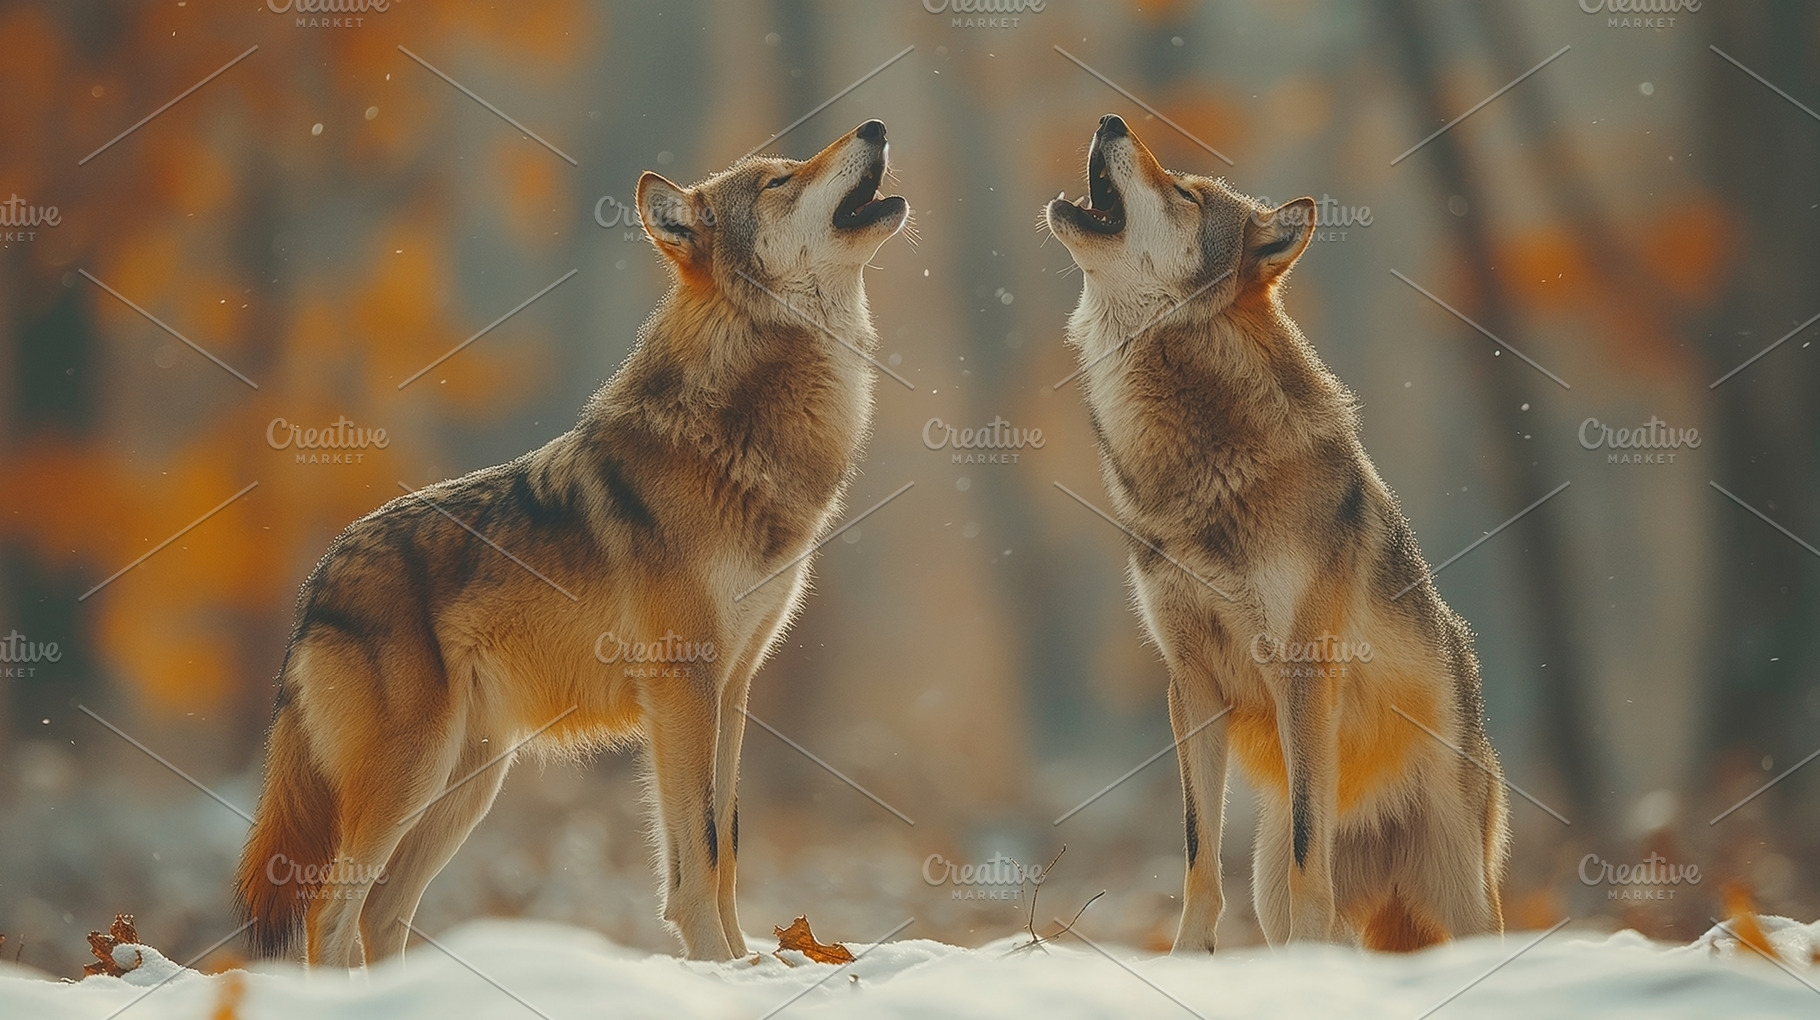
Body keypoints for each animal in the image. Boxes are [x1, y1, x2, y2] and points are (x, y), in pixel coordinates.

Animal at [234, 120, 910, 965]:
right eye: (780, 182)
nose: (875, 127)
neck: (743, 435)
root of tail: (317, 581)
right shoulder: (682, 687)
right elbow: (700, 854)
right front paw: (716, 965)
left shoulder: (733, 688)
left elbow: (727, 850)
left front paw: (741, 965)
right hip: (413, 775)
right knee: (330, 913)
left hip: (467, 784)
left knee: (380, 914)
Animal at [1045, 114, 1508, 952]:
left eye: (1187, 193)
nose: (1110, 120)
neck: (1195, 462)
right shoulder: (1190, 686)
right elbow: (1197, 852)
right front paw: (1192, 957)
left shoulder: (1303, 672)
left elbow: (1305, 848)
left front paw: (1303, 962)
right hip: (1271, 882)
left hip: (1464, 894)